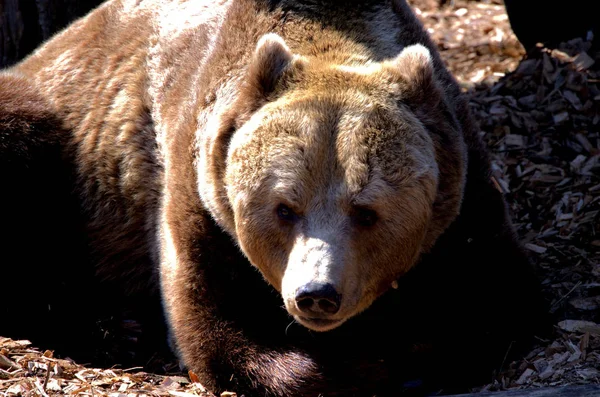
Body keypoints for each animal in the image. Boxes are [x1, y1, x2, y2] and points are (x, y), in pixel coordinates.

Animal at [1, 0, 548, 394]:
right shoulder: (198, 192)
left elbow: (497, 299)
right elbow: (213, 326)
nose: (316, 294)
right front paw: (343, 368)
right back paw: (113, 326)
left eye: (365, 211)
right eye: (285, 208)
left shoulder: (462, 192)